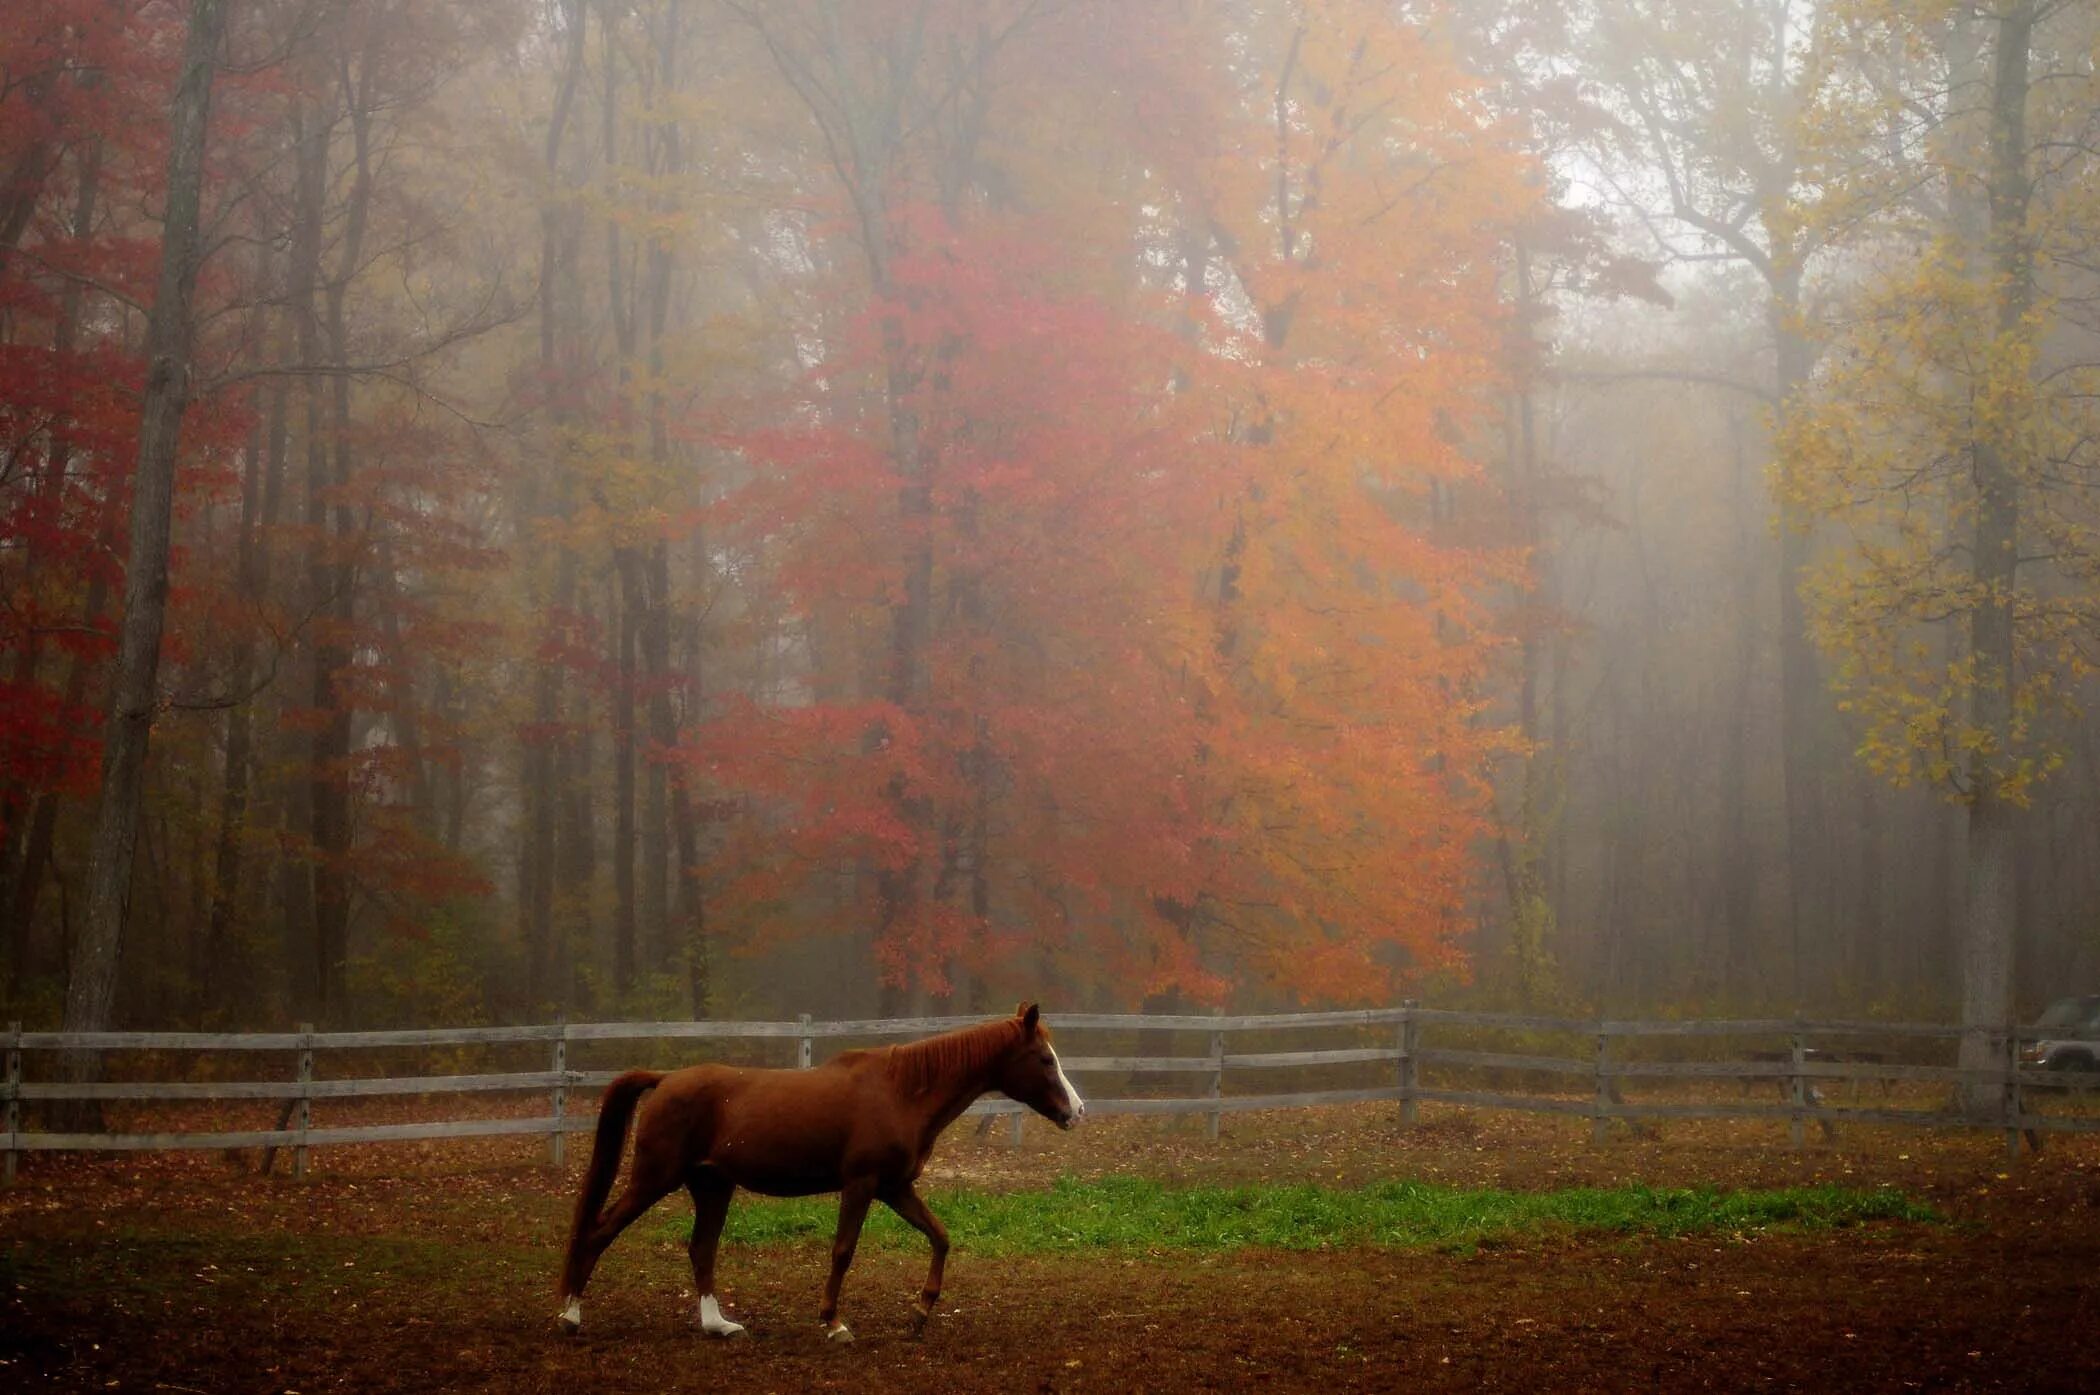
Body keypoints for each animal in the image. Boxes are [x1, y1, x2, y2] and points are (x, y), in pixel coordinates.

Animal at [554, 995, 1083, 1344]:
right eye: (1044, 1059)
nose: (1076, 1111)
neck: (900, 1092)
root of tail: (665, 1080)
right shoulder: (861, 1184)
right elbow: (843, 1251)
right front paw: (834, 1322)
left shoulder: (895, 1187)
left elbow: (940, 1237)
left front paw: (919, 1312)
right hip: (653, 1179)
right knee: (599, 1232)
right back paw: (571, 1317)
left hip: (712, 1186)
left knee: (701, 1248)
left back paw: (717, 1325)